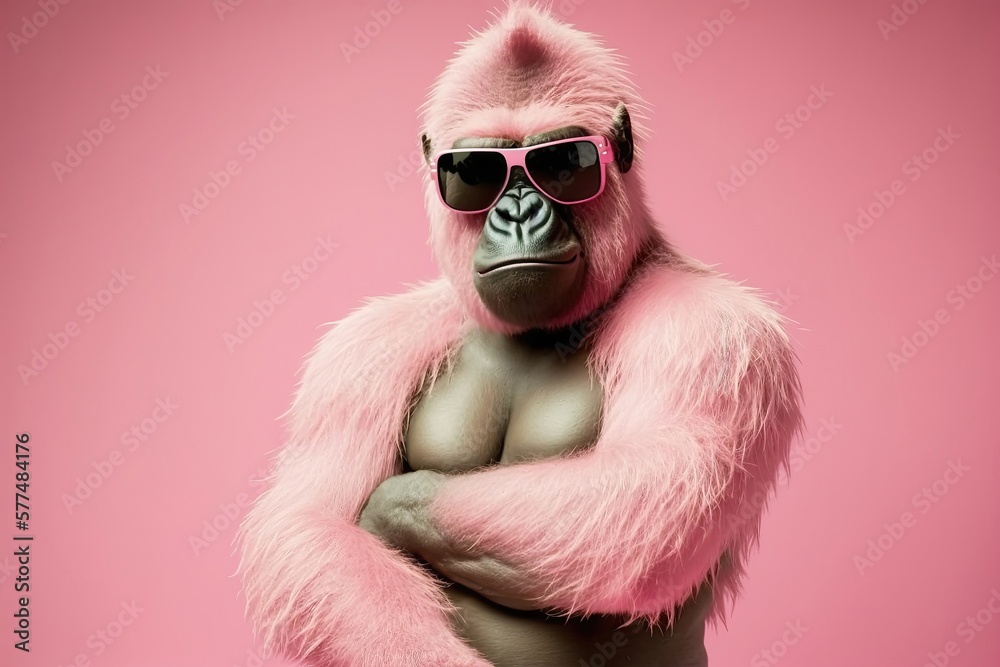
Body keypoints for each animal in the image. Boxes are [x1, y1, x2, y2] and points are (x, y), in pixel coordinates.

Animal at [238, 3, 803, 666]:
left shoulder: (714, 329)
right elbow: (310, 528)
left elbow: (654, 497)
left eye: (562, 163)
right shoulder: (360, 353)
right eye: (474, 173)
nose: (517, 211)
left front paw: (390, 511)